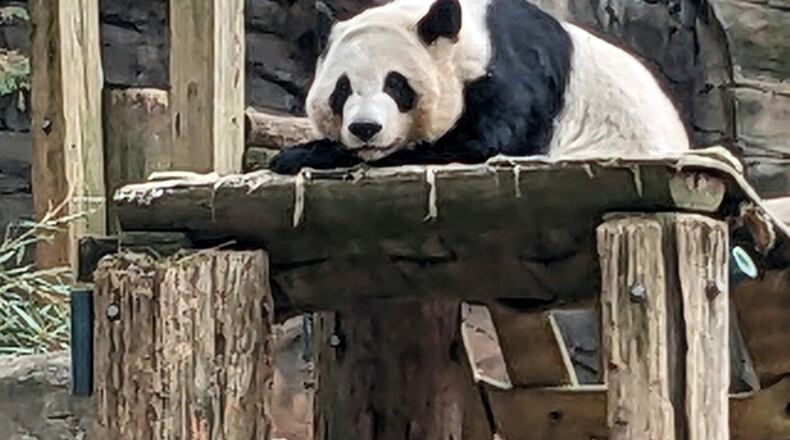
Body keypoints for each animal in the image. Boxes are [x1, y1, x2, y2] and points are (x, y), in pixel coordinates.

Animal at [269, 0, 690, 175]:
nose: (365, 129)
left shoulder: (515, 74)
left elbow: (479, 145)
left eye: (396, 85)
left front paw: (300, 155)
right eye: (342, 90)